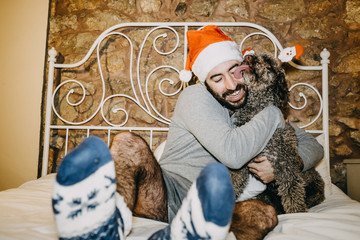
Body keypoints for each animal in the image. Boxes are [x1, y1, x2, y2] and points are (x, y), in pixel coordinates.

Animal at [229, 52, 324, 214]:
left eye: (268, 64)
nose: (248, 57)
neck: (256, 112)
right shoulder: (240, 162)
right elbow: (233, 181)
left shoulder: (286, 165)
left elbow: (292, 194)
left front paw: (297, 215)